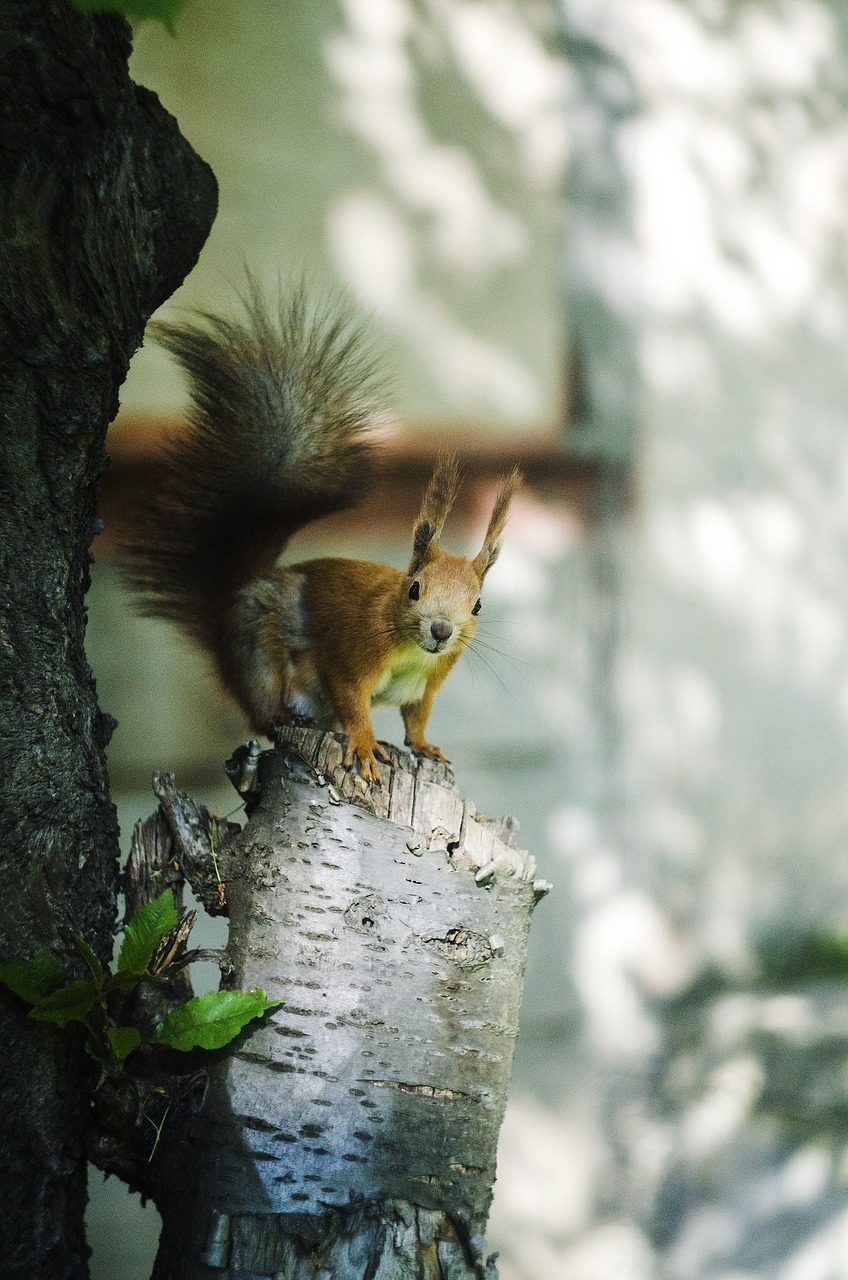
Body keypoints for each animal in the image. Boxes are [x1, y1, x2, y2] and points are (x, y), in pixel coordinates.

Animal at [124, 288, 525, 778]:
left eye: (478, 604)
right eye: (413, 589)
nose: (442, 630)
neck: (411, 649)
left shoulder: (429, 682)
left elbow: (417, 717)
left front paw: (425, 746)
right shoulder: (351, 653)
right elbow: (353, 701)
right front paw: (366, 744)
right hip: (258, 647)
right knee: (265, 710)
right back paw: (286, 716)